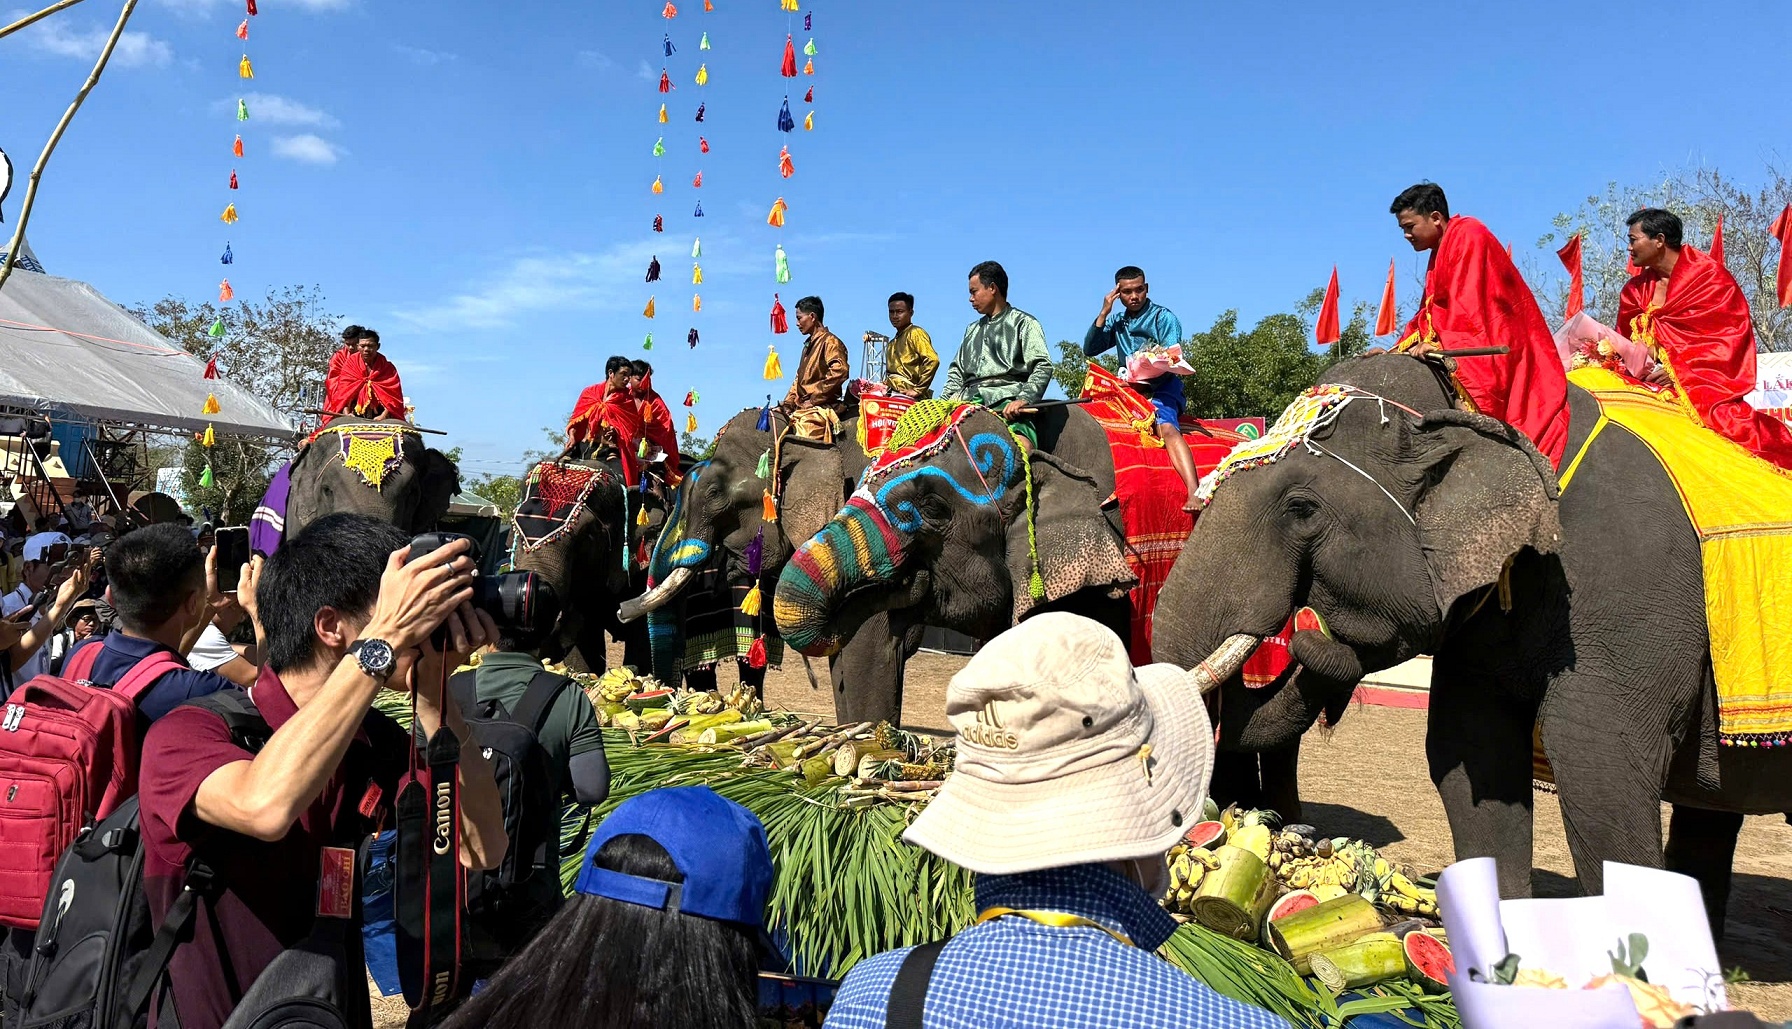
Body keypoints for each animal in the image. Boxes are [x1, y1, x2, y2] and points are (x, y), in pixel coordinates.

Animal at [1146, 354, 1792, 932]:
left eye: (1301, 508)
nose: (1313, 630)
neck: (1480, 406)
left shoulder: (1626, 591)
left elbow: (1600, 774)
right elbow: (1472, 756)